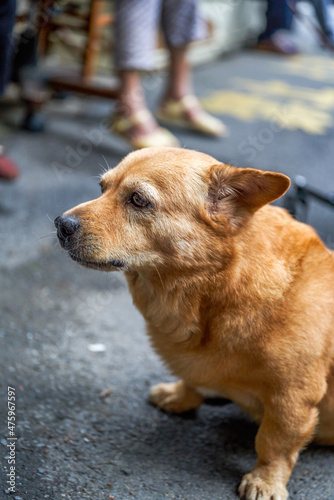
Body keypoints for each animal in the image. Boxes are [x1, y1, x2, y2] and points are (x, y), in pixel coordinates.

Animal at [54, 148, 334, 500]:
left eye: (138, 200)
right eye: (102, 187)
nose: (61, 224)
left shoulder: (293, 397)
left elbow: (274, 444)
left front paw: (265, 482)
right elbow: (191, 380)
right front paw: (180, 396)